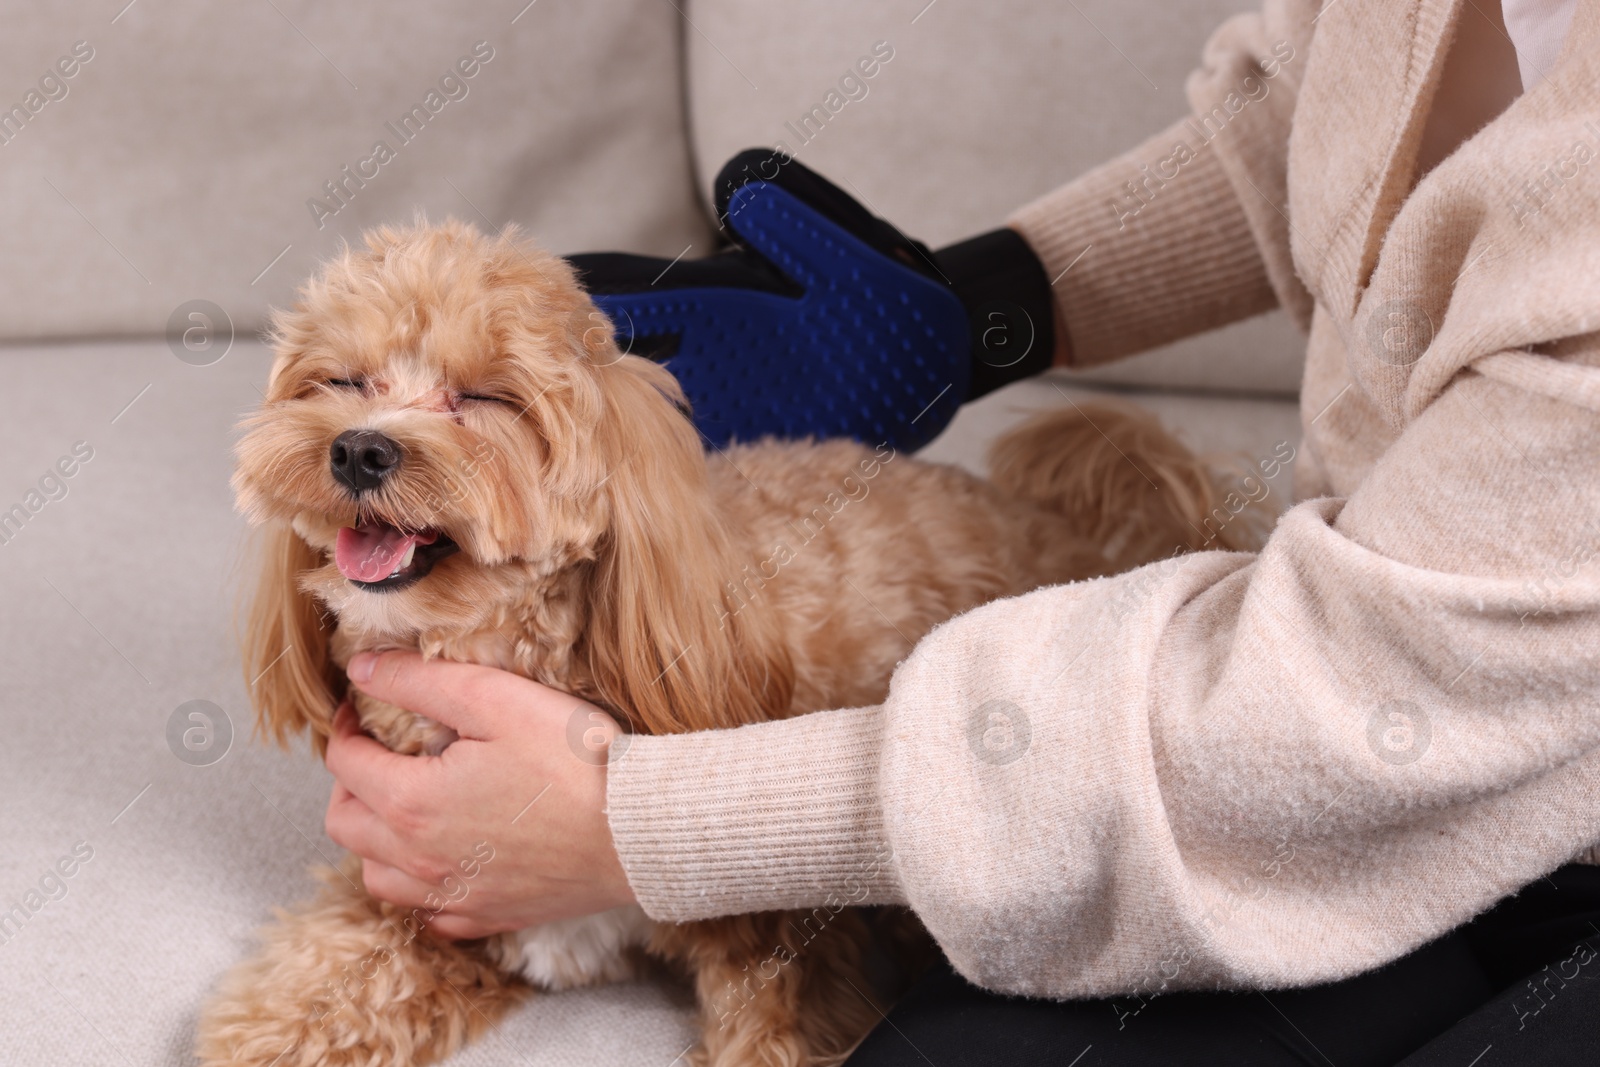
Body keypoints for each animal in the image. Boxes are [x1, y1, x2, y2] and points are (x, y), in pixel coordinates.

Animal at [203, 219, 1248, 1067]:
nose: (358, 449)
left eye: (487, 398)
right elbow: (331, 978)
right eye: (342, 382)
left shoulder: (784, 952)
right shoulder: (416, 898)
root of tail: (1072, 535)